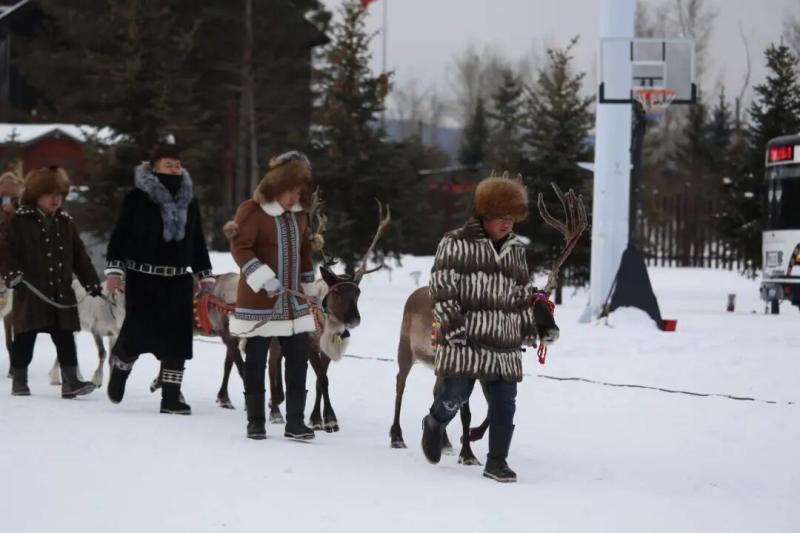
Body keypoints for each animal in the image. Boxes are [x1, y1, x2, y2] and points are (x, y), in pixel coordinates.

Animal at [389, 183, 588, 465]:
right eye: (530, 308)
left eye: (550, 306)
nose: (553, 332)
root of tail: (413, 295)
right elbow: (466, 412)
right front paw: (468, 454)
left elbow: (493, 409)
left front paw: (471, 437)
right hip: (405, 348)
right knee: (400, 384)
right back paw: (397, 436)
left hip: (437, 364)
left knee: (436, 391)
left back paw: (444, 442)